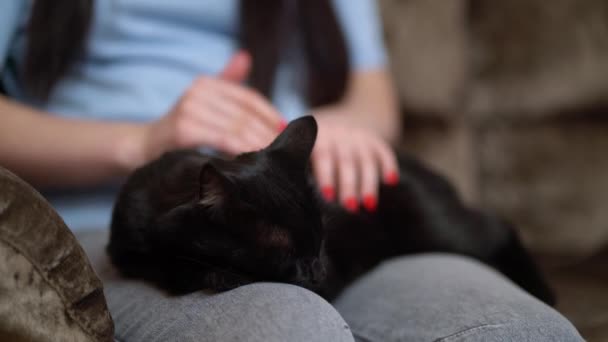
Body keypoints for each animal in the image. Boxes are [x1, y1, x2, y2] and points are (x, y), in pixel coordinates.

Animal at [105, 115, 556, 304]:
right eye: (285, 251)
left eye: (321, 242)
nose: (318, 271)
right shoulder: (125, 247)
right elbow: (164, 265)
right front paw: (211, 272)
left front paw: (218, 274)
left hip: (441, 230)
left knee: (499, 227)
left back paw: (544, 292)